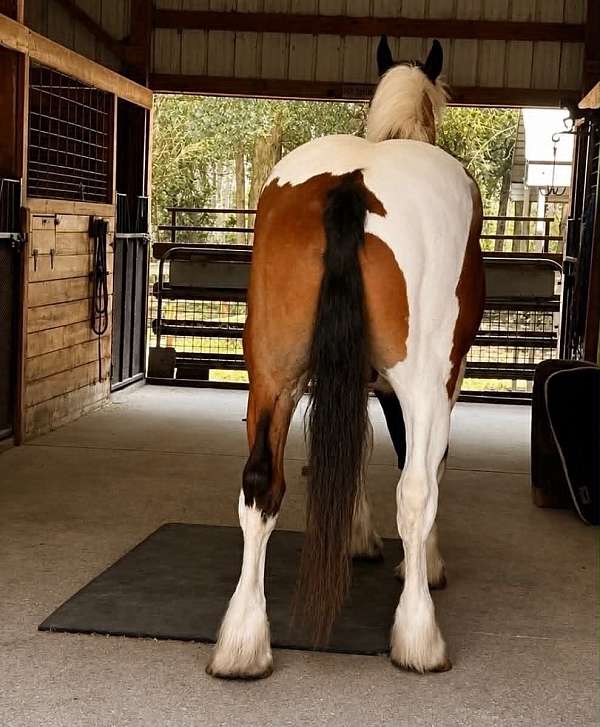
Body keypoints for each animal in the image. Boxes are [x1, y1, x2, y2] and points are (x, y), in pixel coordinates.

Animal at [207, 36, 485, 679]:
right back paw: (418, 637)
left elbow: (353, 446)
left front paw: (356, 536)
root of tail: (353, 182)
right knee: (415, 491)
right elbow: (422, 464)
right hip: (422, 383)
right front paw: (425, 563)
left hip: (272, 376)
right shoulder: (443, 383)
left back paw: (242, 643)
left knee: (260, 487)